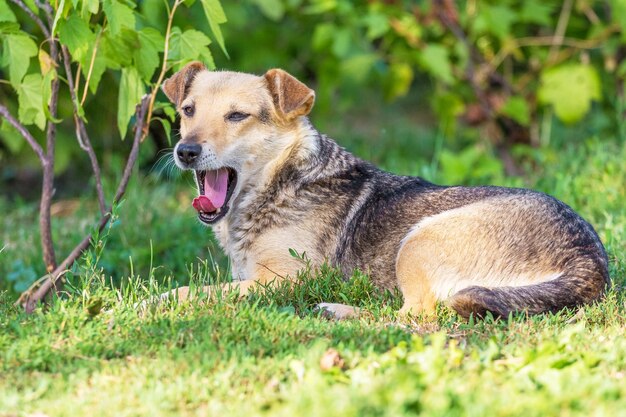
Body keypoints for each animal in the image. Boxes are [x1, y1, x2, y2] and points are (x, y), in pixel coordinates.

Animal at [158, 60, 608, 316]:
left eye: (237, 116)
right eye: (188, 111)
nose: (186, 151)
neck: (282, 180)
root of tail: (588, 257)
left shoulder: (284, 280)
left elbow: (190, 291)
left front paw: (147, 307)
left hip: (419, 239)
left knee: (415, 316)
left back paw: (338, 312)